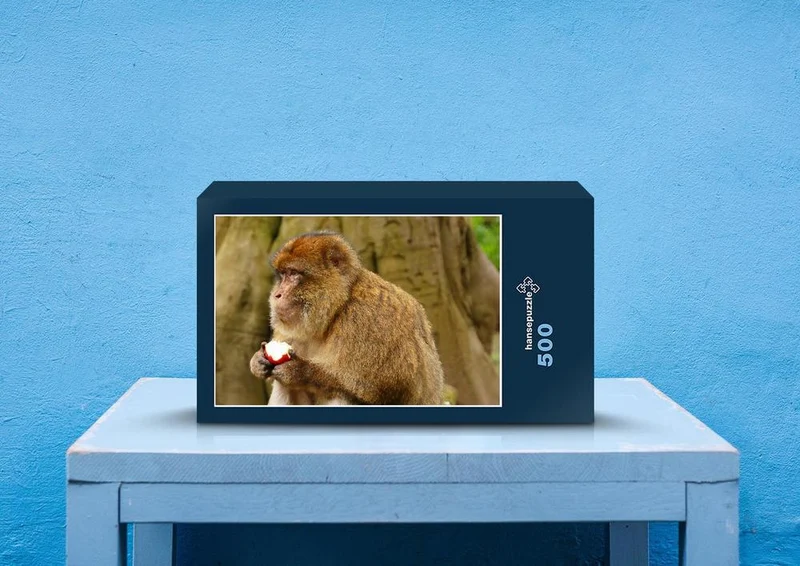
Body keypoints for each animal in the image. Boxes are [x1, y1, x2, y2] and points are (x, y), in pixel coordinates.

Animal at [249, 231, 445, 405]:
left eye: (294, 274)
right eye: (283, 275)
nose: (277, 294)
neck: (338, 308)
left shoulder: (368, 320)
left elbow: (379, 388)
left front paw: (299, 371)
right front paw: (257, 361)